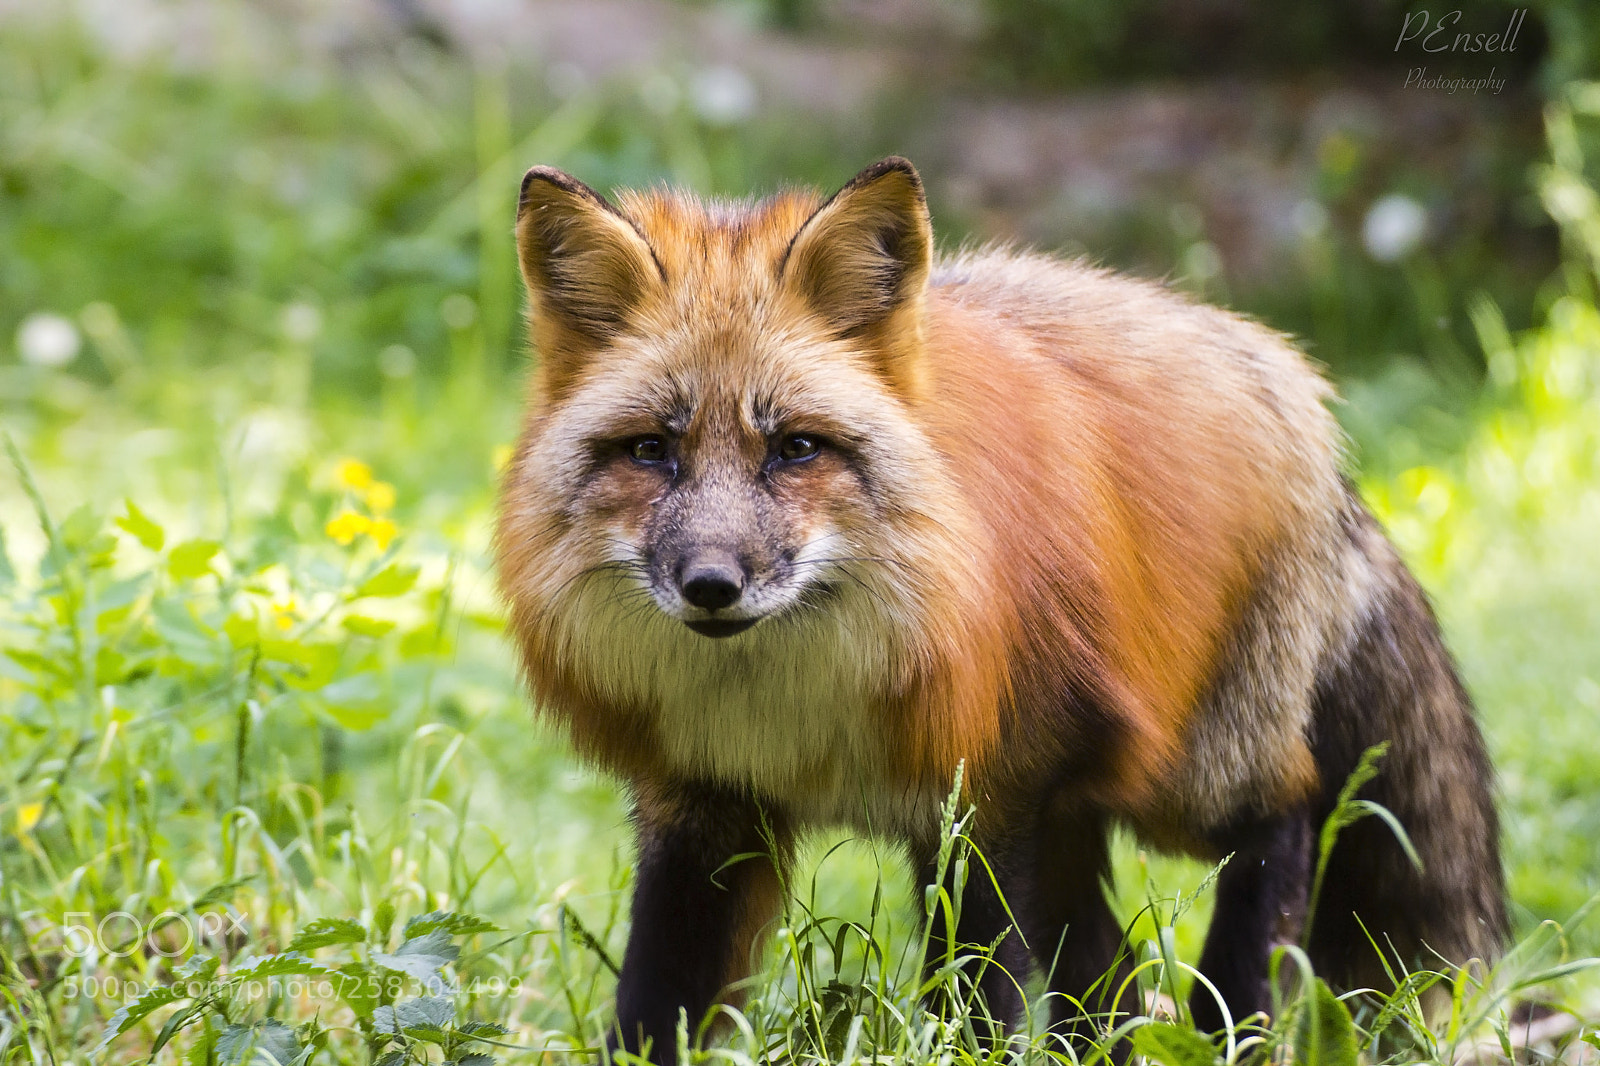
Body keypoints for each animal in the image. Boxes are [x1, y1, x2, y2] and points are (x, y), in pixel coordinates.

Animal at [493, 157, 1507, 1063]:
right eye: (650, 450)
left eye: (795, 449)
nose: (711, 583)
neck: (792, 713)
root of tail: (1287, 368)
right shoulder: (703, 807)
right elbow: (654, 1006)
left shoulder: (979, 804)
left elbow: (975, 1001)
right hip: (1071, 817)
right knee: (1113, 981)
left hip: (1187, 775)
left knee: (1286, 824)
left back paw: (1238, 1025)